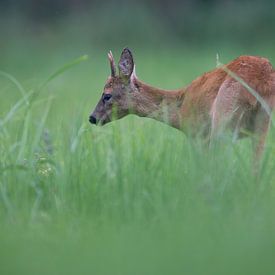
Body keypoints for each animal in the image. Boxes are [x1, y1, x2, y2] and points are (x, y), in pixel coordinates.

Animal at [90, 47, 275, 160]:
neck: (180, 109)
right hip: (261, 124)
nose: (92, 117)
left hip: (223, 119)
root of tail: (261, 80)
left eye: (106, 95)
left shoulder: (197, 133)